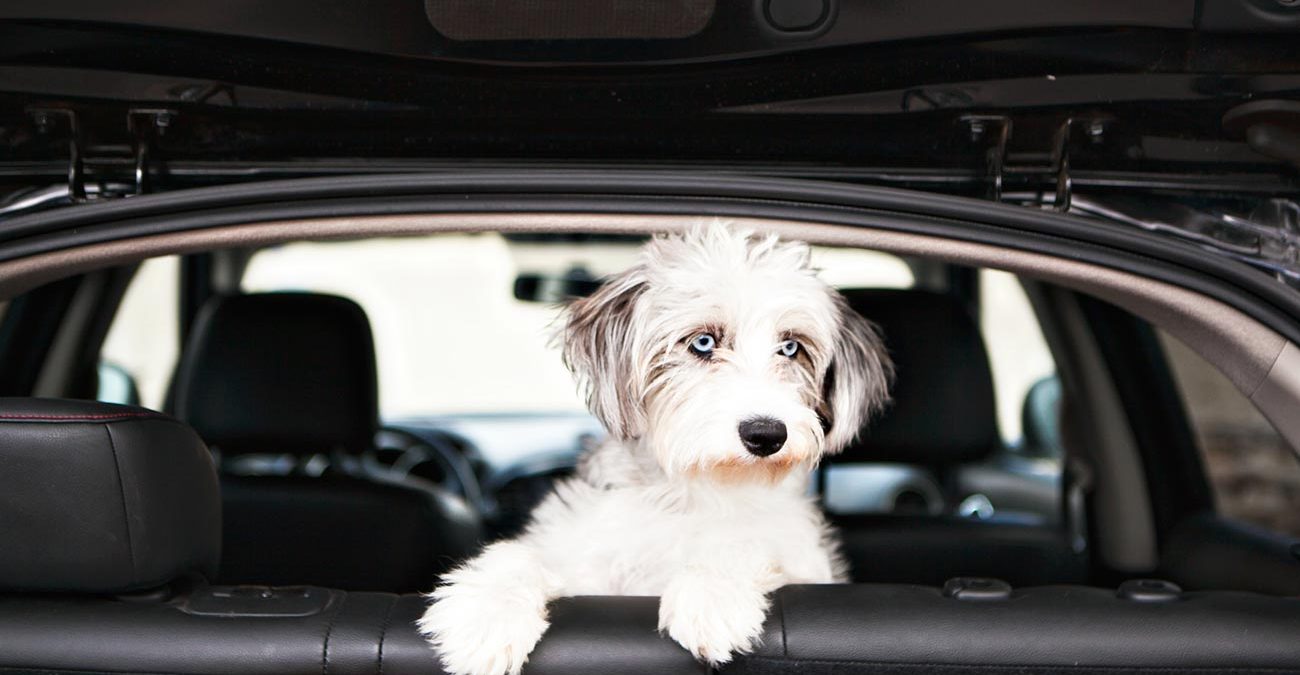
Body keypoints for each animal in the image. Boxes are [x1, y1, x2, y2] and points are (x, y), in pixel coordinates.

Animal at [421, 226, 889, 675]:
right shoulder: (585, 565)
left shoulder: (803, 563)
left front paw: (712, 593)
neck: (693, 490)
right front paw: (485, 615)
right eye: (703, 342)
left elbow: (745, 545)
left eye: (791, 347)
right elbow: (521, 555)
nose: (766, 434)